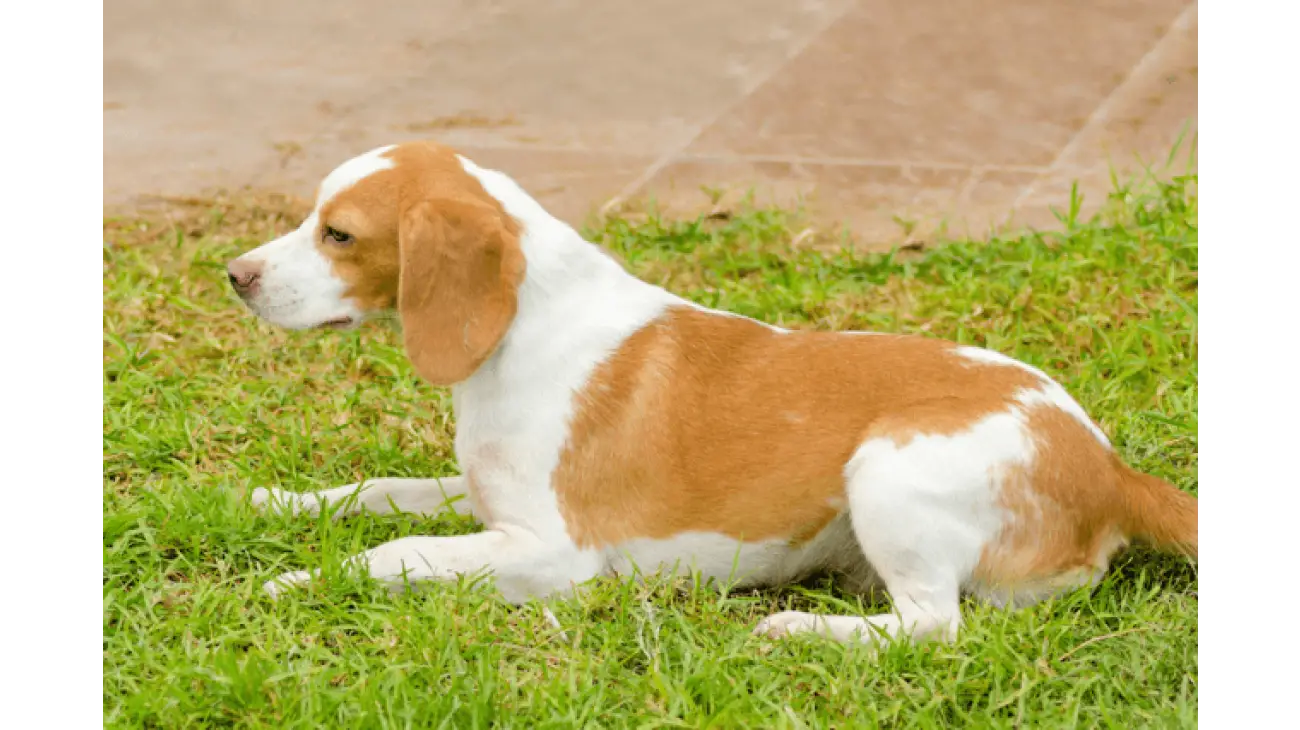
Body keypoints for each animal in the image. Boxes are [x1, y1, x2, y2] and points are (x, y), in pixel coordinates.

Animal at [226, 138, 1196, 644]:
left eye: (338, 234)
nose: (234, 276)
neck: (523, 331)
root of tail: (1113, 470)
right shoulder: (480, 496)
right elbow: (375, 491)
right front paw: (275, 504)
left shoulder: (552, 555)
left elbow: (392, 554)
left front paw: (295, 579)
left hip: (885, 468)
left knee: (930, 626)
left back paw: (798, 630)